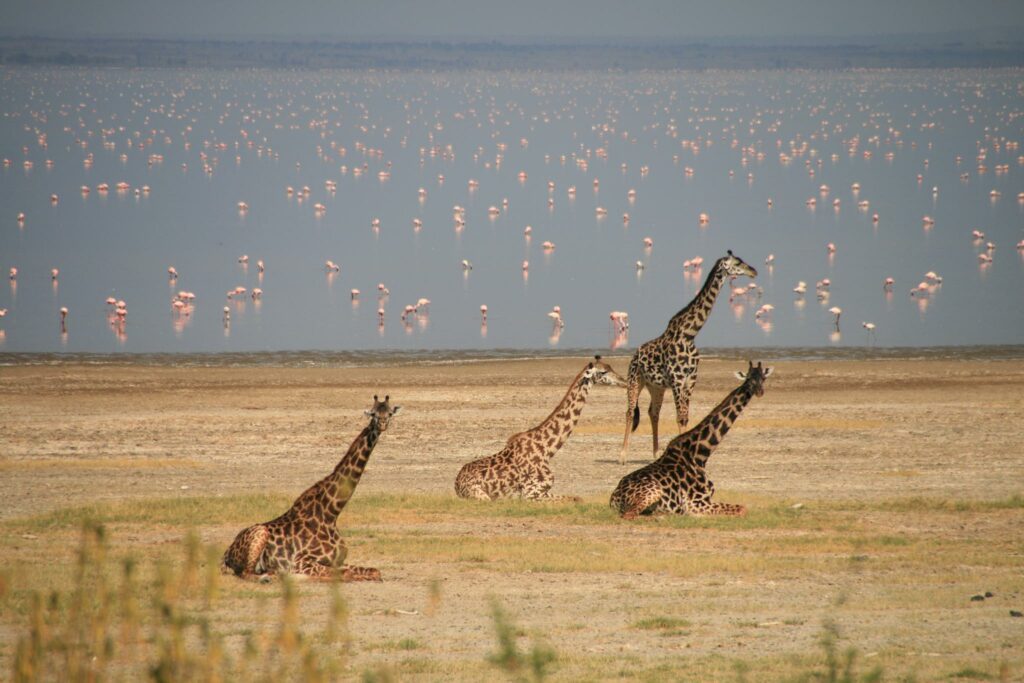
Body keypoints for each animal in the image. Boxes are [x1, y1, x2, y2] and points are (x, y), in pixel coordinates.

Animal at [220, 395, 399, 581]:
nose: (382, 424)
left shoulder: (338, 561)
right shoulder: (301, 562)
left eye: (389, 413)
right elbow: (344, 574)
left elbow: (374, 571)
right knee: (246, 573)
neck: (331, 513)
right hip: (260, 534)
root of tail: (227, 553)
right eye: (373, 414)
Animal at [454, 358, 622, 501]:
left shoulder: (542, 491)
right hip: (482, 496)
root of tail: (456, 485)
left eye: (610, 367)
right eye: (603, 372)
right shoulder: (530, 494)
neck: (547, 450)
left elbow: (577, 498)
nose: (623, 380)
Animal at [610, 362, 770, 518]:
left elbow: (742, 508)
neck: (700, 454)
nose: (759, 391)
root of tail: (613, 498)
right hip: (653, 492)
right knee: (630, 515)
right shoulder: (695, 503)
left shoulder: (707, 499)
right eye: (749, 379)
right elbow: (742, 509)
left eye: (763, 378)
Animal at [618, 250, 757, 464]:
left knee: (653, 412)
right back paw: (623, 455)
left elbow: (685, 417)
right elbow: (680, 417)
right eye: (737, 263)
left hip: (656, 386)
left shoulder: (690, 380)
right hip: (635, 380)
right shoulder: (677, 380)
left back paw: (656, 453)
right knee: (630, 411)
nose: (754, 271)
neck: (689, 334)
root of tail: (634, 355)